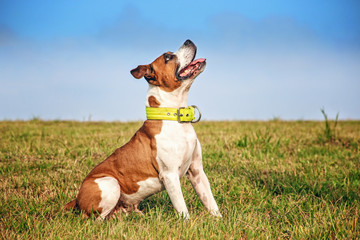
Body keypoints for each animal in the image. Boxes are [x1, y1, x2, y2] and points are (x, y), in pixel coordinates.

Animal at [65, 39, 222, 219]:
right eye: (168, 57)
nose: (188, 40)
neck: (172, 116)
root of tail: (76, 199)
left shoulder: (197, 171)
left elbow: (210, 202)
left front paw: (218, 220)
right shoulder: (170, 175)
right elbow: (182, 208)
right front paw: (187, 223)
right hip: (110, 184)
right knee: (96, 219)